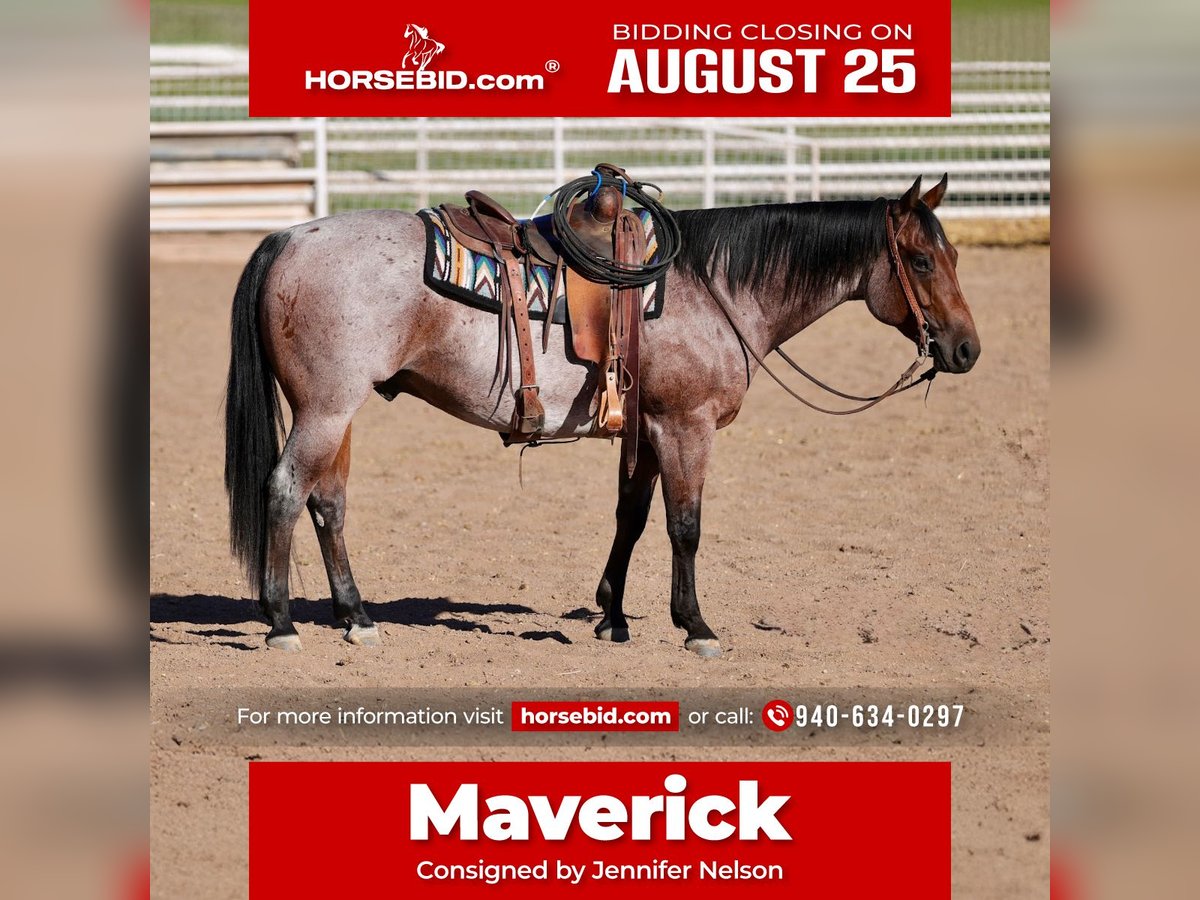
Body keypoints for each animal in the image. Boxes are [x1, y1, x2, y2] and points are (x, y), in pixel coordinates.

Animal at [224, 174, 980, 656]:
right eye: (919, 258)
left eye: (953, 253)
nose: (966, 348)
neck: (714, 287)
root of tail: (291, 236)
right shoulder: (685, 426)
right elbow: (685, 527)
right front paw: (696, 626)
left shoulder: (644, 429)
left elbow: (632, 519)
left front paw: (612, 616)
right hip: (325, 409)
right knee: (286, 491)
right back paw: (282, 623)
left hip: (335, 412)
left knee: (329, 502)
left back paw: (356, 617)